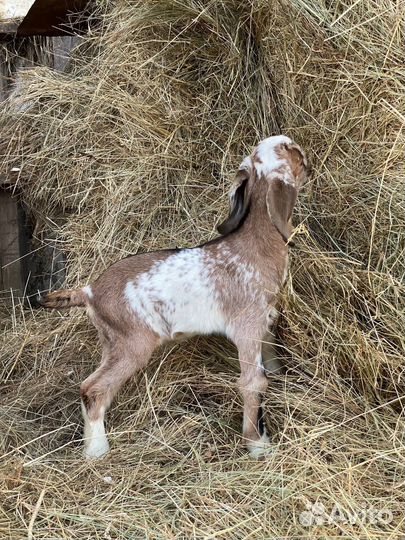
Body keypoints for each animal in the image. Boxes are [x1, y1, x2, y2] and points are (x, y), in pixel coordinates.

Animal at [40, 136, 306, 460]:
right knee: (93, 388)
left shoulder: (264, 321)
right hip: (132, 344)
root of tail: (89, 292)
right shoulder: (247, 328)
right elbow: (253, 383)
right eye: (294, 154)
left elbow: (270, 362)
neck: (253, 247)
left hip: (111, 343)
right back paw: (97, 451)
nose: (309, 162)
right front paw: (258, 446)